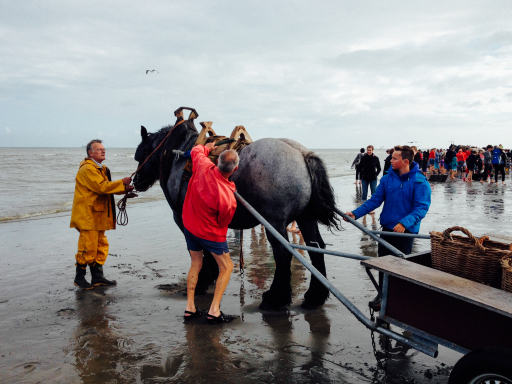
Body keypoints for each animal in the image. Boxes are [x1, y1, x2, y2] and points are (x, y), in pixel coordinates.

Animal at [134, 111, 340, 308]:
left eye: (140, 154)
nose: (136, 181)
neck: (181, 154)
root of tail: (302, 154)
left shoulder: (183, 218)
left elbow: (200, 251)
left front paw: (202, 281)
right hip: (306, 217)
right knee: (316, 248)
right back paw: (315, 296)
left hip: (274, 221)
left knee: (282, 253)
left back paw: (275, 299)